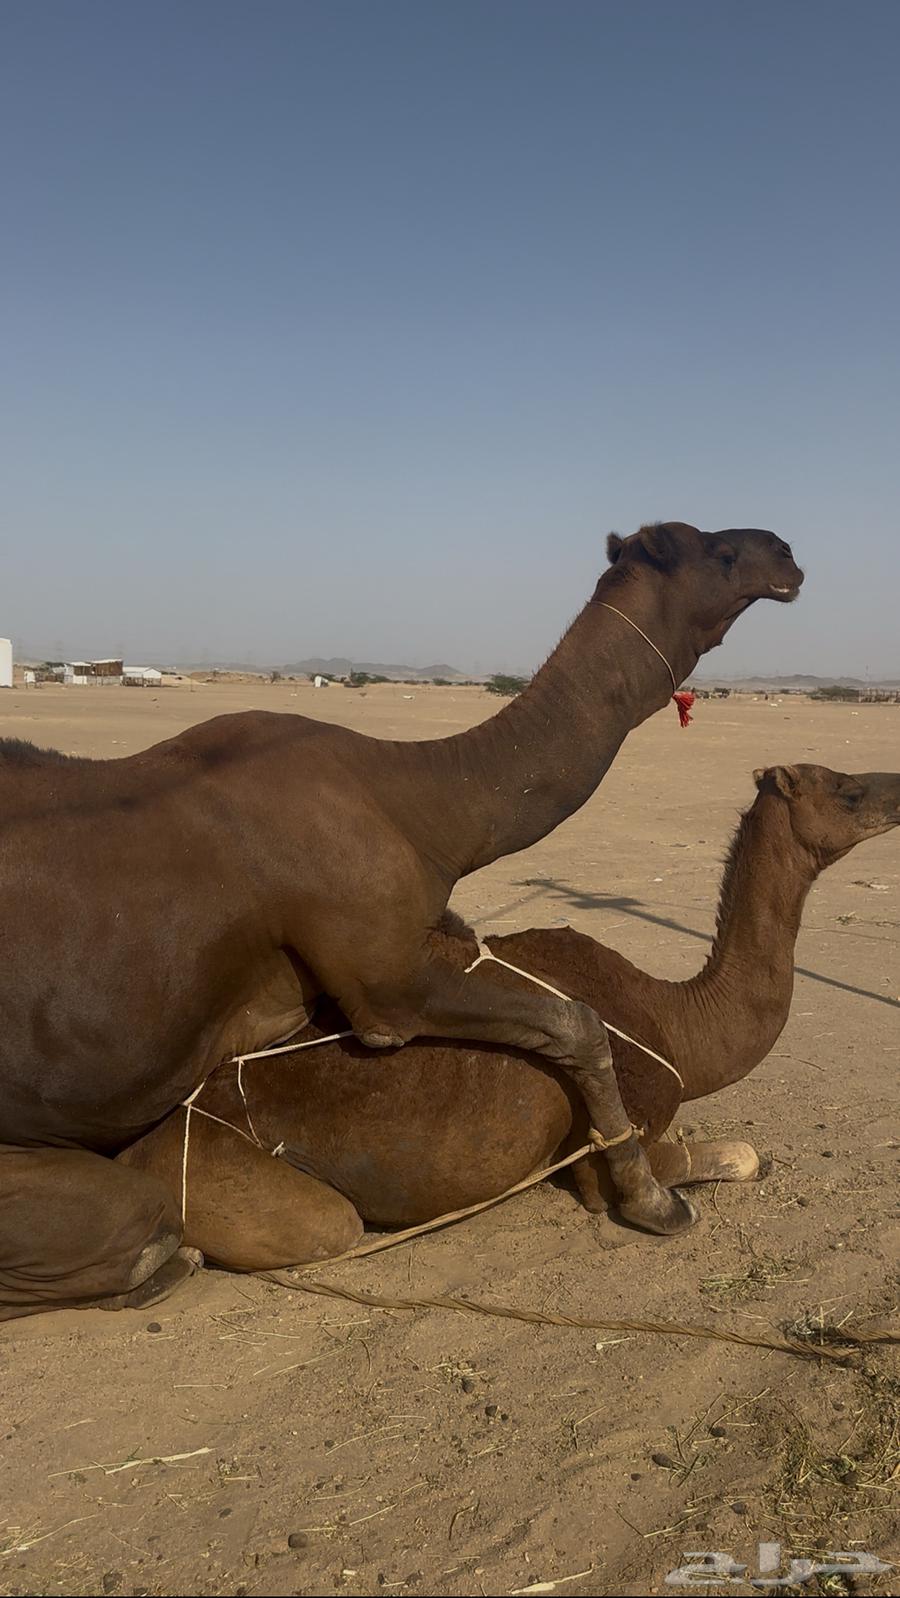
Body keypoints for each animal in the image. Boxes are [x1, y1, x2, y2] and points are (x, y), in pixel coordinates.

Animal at [0, 523, 803, 1320]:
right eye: (718, 552)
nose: (787, 554)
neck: (418, 803)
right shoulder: (384, 981)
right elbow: (577, 1023)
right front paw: (654, 1204)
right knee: (142, 1231)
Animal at [118, 764, 900, 1270]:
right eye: (847, 788)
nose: (897, 786)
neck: (675, 1018)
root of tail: (136, 1146)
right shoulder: (606, 1149)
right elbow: (731, 1157)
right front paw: (671, 1204)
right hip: (227, 1180)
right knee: (327, 1225)